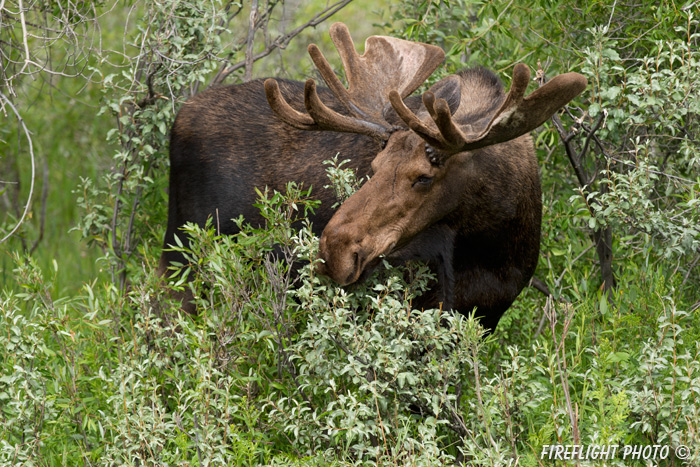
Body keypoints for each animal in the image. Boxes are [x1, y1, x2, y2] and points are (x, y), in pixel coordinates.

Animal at [159, 21, 584, 330]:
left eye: (423, 177)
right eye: (374, 168)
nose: (334, 250)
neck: (491, 246)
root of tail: (178, 120)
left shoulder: (485, 314)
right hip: (183, 257)